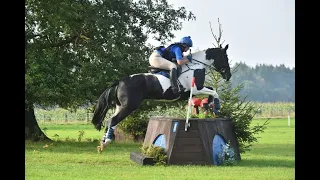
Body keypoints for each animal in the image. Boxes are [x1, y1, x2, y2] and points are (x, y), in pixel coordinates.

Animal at [91, 44, 231, 152]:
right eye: (225, 58)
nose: (228, 76)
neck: (196, 66)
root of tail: (120, 81)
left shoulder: (196, 90)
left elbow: (212, 90)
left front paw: (209, 105)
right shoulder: (196, 88)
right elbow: (214, 92)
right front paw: (216, 107)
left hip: (120, 106)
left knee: (111, 120)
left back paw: (103, 143)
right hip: (129, 105)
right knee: (113, 120)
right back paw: (107, 142)